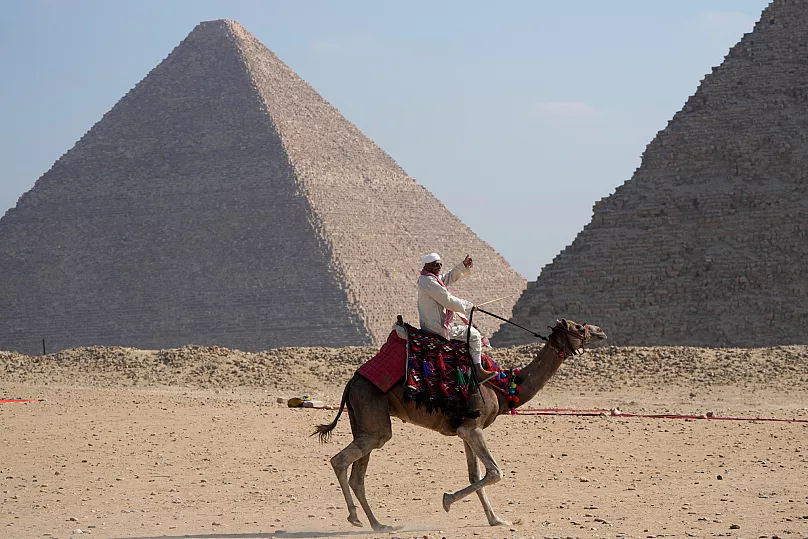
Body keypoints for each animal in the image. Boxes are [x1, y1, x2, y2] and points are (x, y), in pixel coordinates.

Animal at [314, 318, 607, 532]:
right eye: (578, 327)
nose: (601, 331)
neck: (504, 388)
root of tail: (352, 382)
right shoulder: (471, 427)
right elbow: (495, 472)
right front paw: (447, 501)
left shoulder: (465, 431)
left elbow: (476, 475)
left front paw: (496, 519)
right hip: (372, 412)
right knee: (341, 460)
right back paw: (356, 517)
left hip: (365, 423)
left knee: (358, 474)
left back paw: (378, 524)